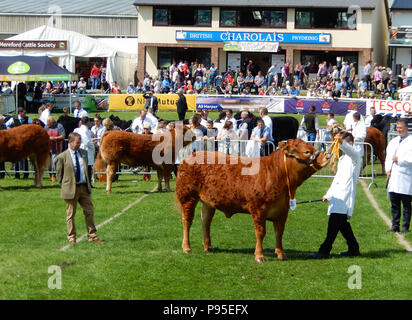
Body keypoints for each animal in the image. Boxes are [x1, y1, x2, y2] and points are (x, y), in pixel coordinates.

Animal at [175, 138, 330, 262]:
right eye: (307, 152)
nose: (327, 157)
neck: (275, 174)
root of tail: (190, 156)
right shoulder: (258, 208)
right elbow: (260, 232)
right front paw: (259, 256)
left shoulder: (282, 211)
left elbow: (279, 232)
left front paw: (281, 253)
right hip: (187, 197)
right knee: (187, 221)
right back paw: (186, 247)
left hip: (208, 202)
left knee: (205, 221)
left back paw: (208, 246)